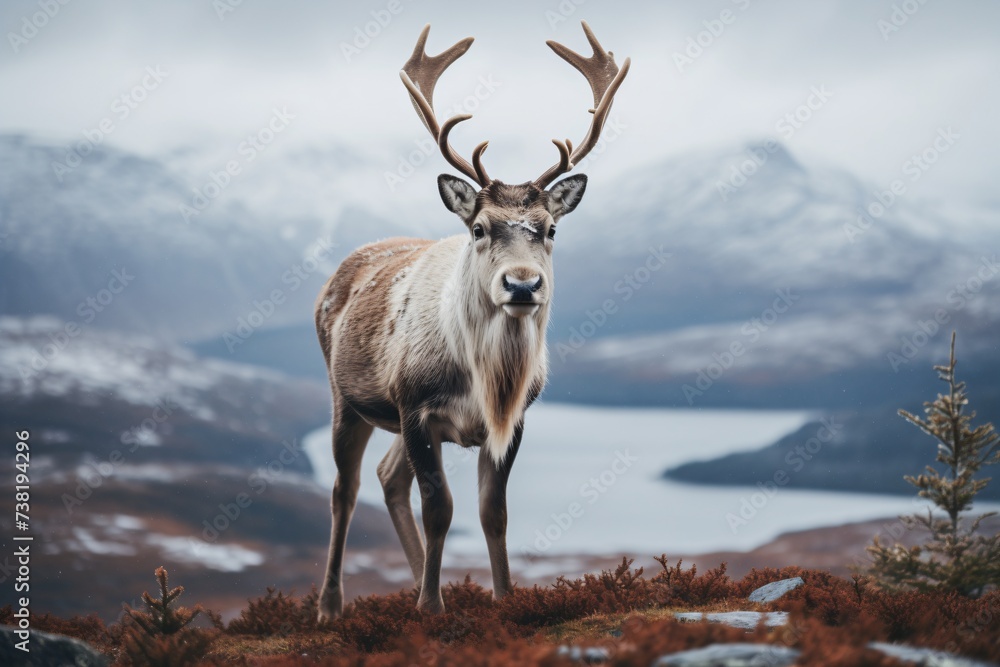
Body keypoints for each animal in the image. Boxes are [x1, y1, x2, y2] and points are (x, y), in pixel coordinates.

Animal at [314, 21, 629, 620]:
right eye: (480, 228)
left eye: (550, 228)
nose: (523, 284)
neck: (485, 378)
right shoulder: (416, 406)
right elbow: (441, 508)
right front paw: (431, 609)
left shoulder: (513, 418)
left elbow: (492, 512)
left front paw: (504, 601)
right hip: (349, 397)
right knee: (345, 490)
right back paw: (331, 605)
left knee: (388, 478)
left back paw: (415, 579)